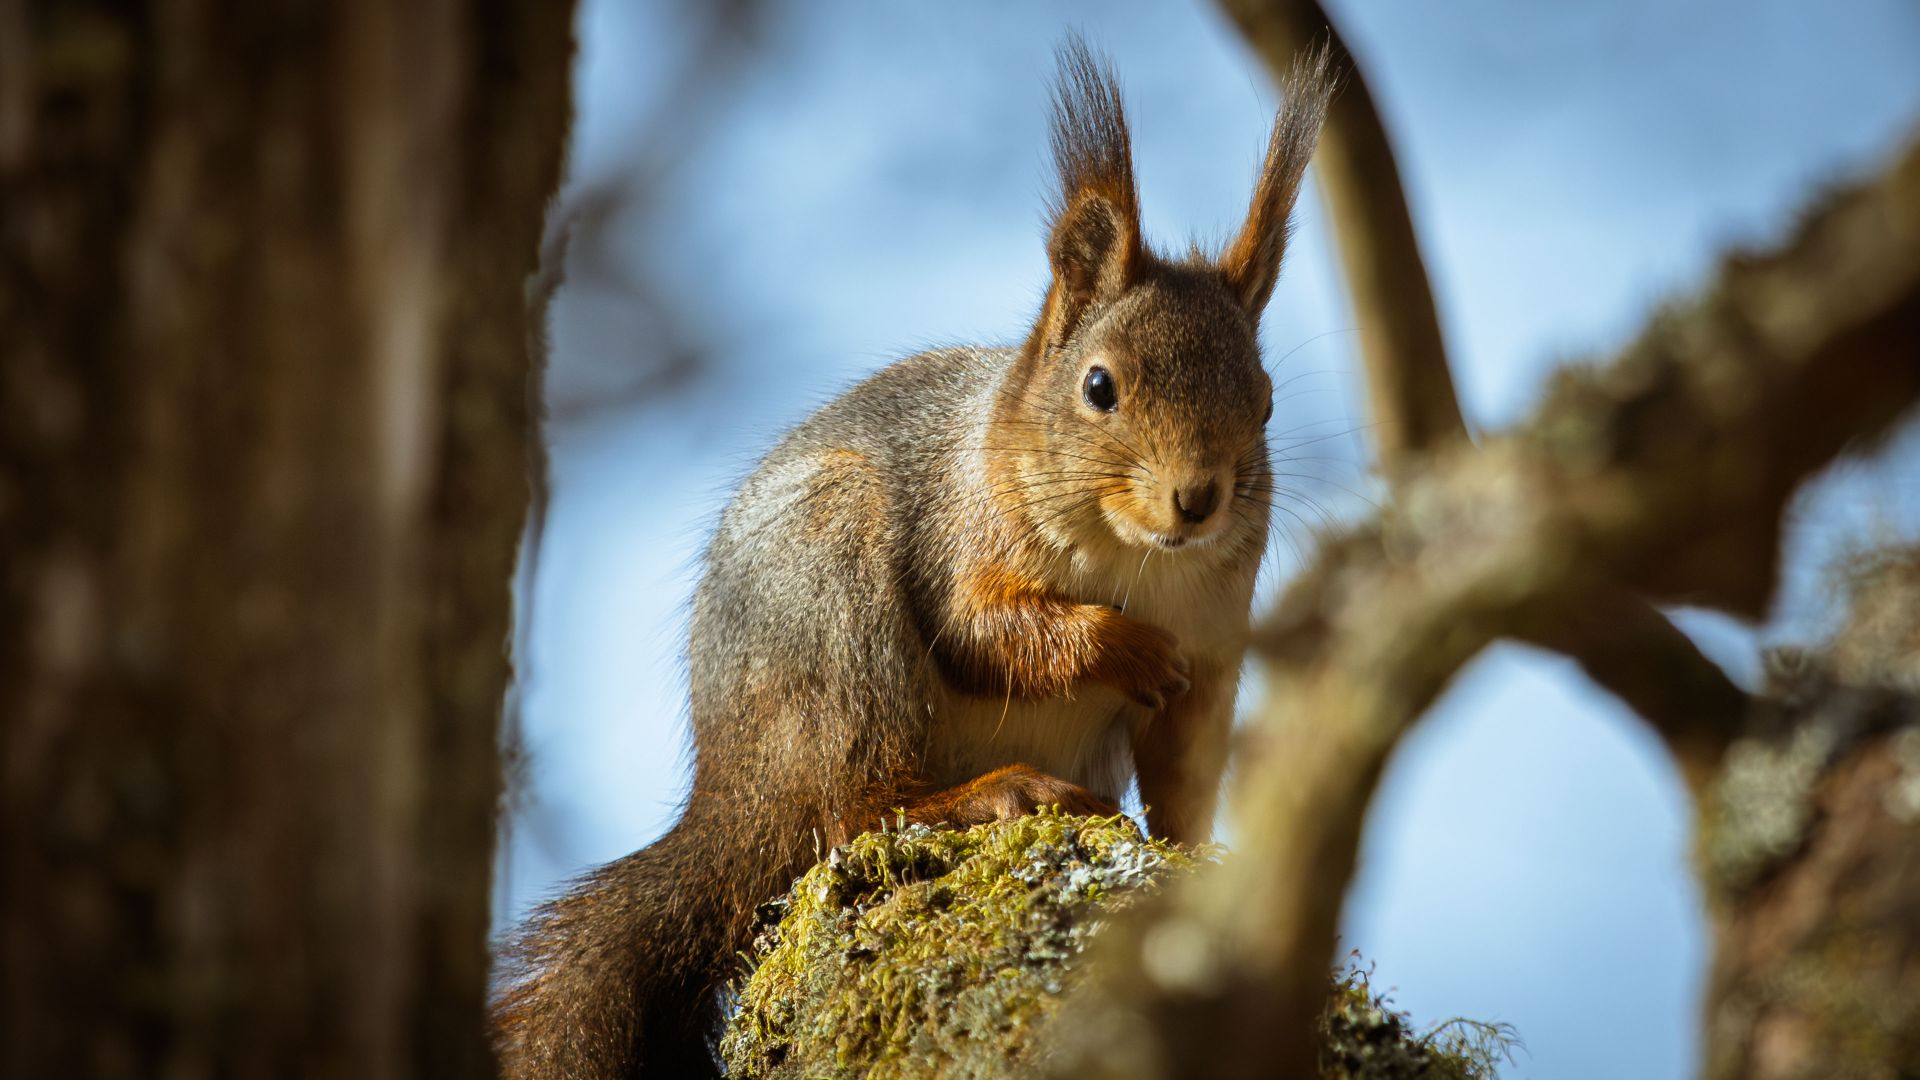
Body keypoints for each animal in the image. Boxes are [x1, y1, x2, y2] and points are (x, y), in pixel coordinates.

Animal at [493, 37, 1333, 1079]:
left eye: (1264, 401)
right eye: (1100, 387)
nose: (1198, 497)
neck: (1138, 561)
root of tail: (732, 794)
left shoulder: (1216, 652)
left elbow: (1185, 771)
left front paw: (1200, 864)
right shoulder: (961, 531)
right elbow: (982, 632)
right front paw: (1126, 648)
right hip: (830, 606)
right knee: (848, 812)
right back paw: (991, 793)